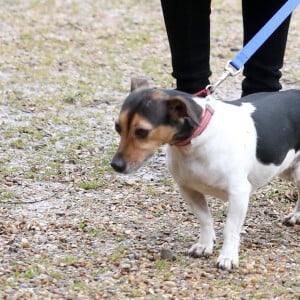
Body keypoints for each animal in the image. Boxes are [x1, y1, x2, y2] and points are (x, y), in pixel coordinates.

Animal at [111, 78, 300, 270]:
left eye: (142, 132)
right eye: (117, 127)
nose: (115, 165)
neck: (197, 140)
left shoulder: (238, 193)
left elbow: (230, 229)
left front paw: (228, 256)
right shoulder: (189, 189)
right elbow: (204, 219)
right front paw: (205, 245)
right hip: (288, 169)